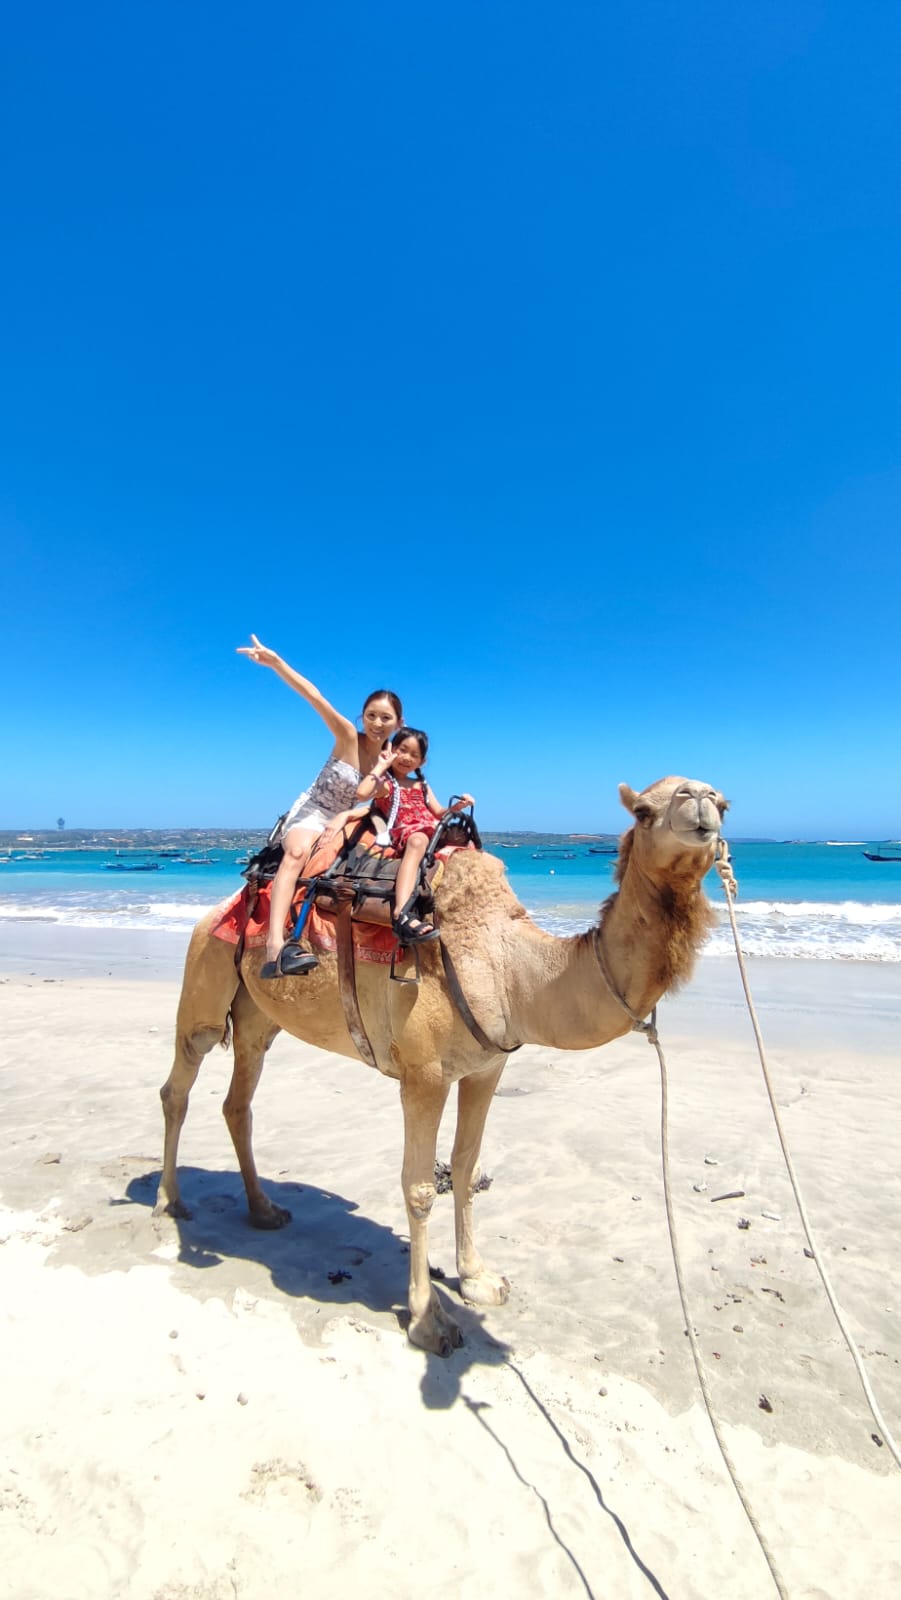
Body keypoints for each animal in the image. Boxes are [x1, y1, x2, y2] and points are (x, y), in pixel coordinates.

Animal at [156, 776, 727, 1355]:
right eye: (643, 810)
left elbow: (467, 1167)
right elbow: (420, 1188)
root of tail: (222, 905)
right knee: (179, 1083)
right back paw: (169, 1202)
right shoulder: (423, 1076)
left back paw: (264, 1210)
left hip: (257, 1017)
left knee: (239, 1100)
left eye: (722, 803)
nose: (702, 798)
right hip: (205, 975)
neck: (509, 969)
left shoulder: (486, 1068)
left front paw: (478, 1278)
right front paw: (428, 1320)